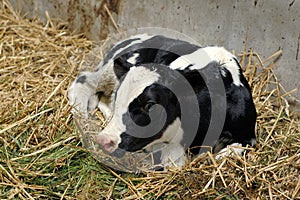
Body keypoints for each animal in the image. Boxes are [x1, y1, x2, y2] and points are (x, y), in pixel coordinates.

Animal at [69, 34, 256, 169]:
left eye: (150, 105)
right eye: (121, 96)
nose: (104, 140)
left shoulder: (249, 136)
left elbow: (230, 152)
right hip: (108, 73)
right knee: (84, 80)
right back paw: (80, 111)